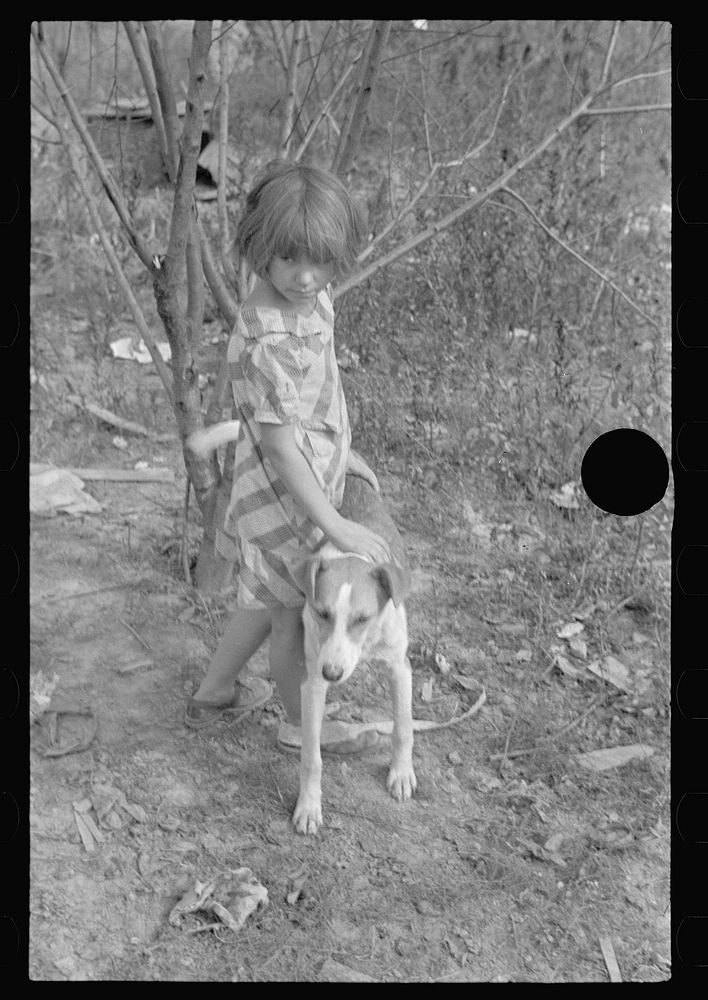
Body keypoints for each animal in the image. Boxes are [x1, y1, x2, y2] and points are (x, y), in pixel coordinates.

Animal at [185, 424, 418, 836]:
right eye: (322, 612)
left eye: (363, 618)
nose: (333, 673)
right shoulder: (313, 681)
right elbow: (311, 756)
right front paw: (309, 807)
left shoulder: (398, 666)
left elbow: (404, 726)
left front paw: (401, 774)